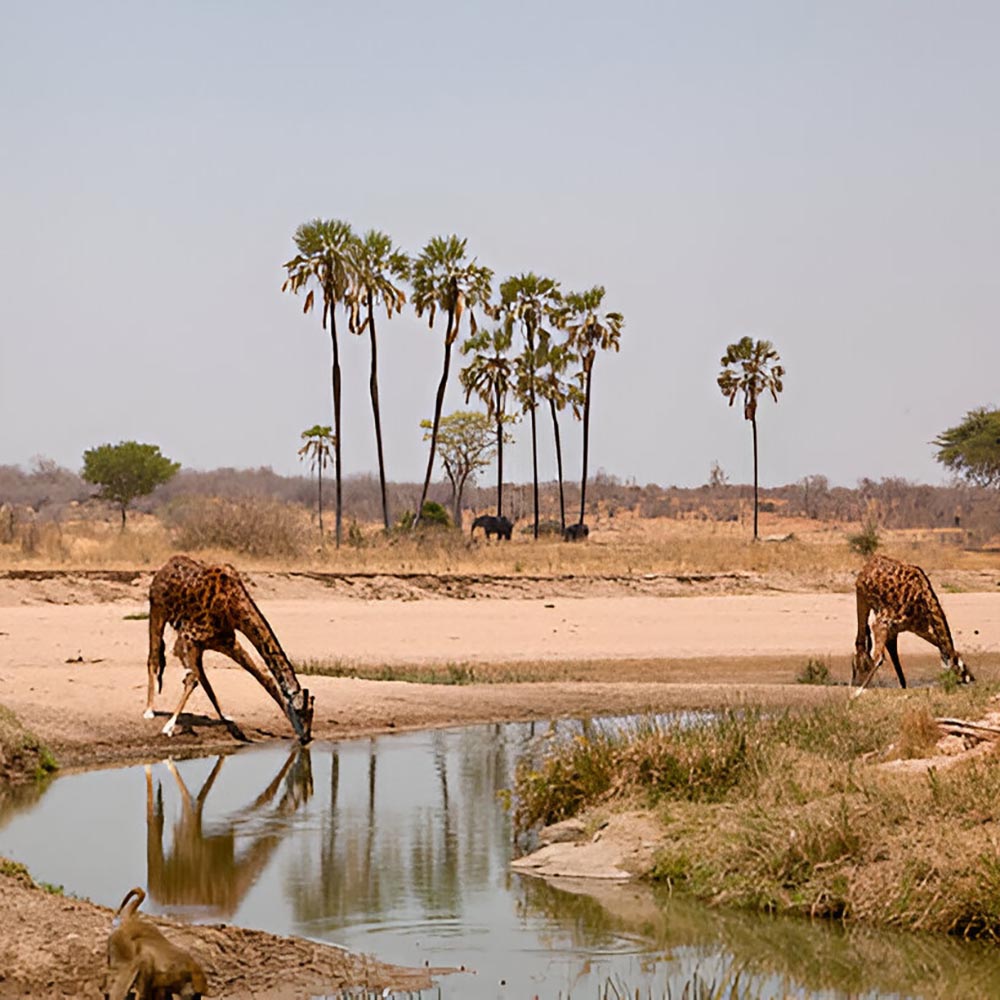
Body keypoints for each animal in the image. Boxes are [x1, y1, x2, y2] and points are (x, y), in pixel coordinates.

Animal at [146, 556, 312, 744]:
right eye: (302, 713)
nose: (306, 737)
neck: (232, 606)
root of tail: (165, 566)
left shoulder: (226, 643)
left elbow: (265, 679)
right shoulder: (188, 638)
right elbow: (192, 679)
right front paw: (169, 726)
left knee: (202, 676)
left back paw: (226, 717)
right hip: (157, 612)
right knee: (153, 658)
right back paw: (149, 710)